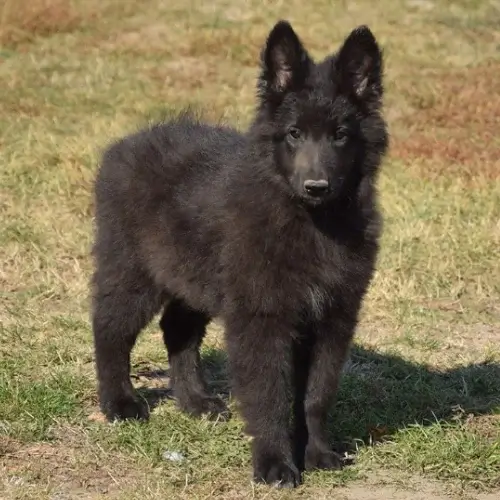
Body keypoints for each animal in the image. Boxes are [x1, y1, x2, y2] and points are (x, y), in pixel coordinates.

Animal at [93, 20, 390, 488]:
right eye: (294, 134)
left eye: (341, 136)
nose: (316, 186)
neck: (310, 220)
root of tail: (123, 145)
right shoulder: (261, 316)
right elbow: (270, 394)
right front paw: (274, 464)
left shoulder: (334, 317)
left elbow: (316, 395)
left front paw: (319, 453)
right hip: (132, 268)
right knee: (110, 327)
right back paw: (120, 403)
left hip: (195, 275)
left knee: (177, 330)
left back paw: (195, 401)